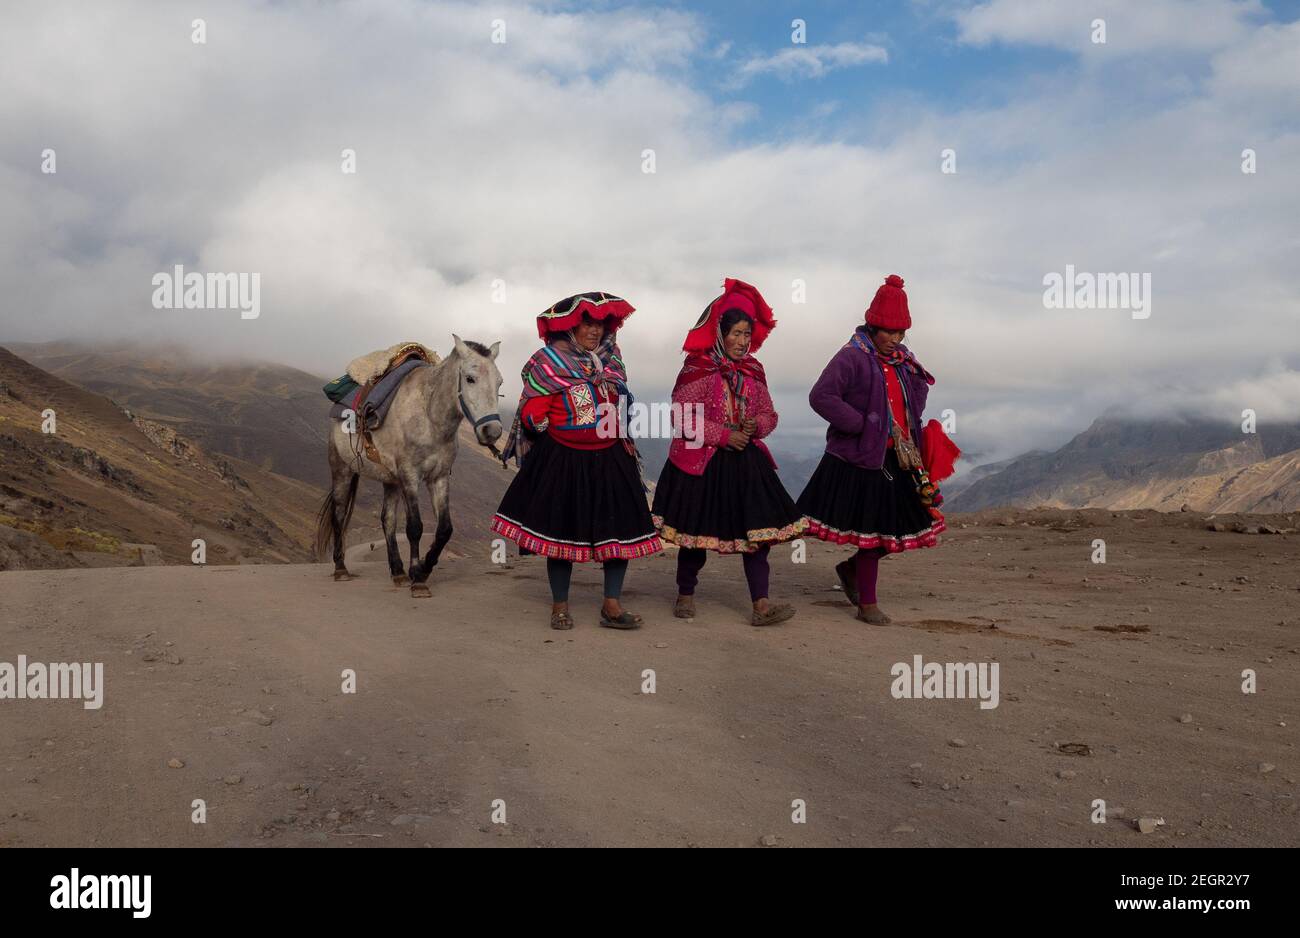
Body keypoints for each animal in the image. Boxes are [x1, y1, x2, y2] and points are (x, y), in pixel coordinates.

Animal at [317, 332, 504, 595]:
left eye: (499, 383)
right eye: (470, 378)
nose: (492, 431)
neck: (430, 416)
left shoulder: (438, 478)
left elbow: (444, 529)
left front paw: (423, 569)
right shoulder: (410, 476)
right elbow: (414, 526)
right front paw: (417, 578)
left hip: (390, 481)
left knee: (387, 519)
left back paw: (397, 572)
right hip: (341, 470)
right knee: (339, 514)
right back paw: (341, 569)